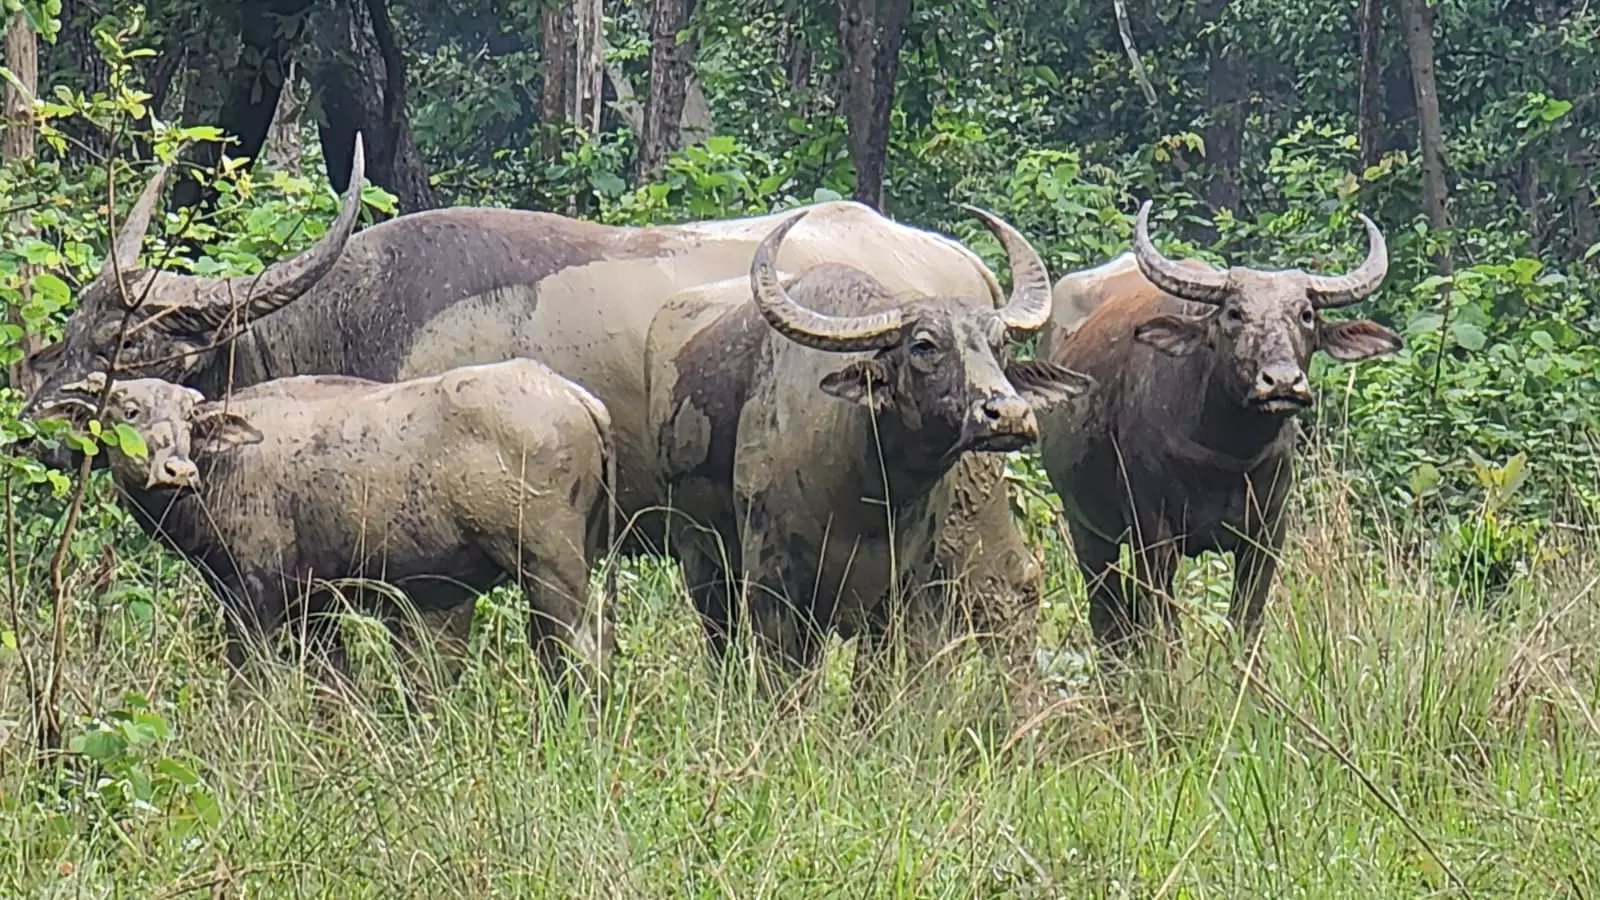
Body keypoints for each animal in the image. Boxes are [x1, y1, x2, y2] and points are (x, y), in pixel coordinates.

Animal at [36, 360, 617, 688]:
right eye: (128, 410)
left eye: (188, 420)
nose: (177, 471)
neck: (225, 466)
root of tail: (575, 395)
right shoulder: (315, 608)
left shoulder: (252, 594)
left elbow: (248, 689)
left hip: (550, 567)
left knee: (582, 655)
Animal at [643, 204, 1094, 695]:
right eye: (923, 345)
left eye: (1000, 345)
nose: (1008, 414)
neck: (866, 498)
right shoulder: (773, 584)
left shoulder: (904, 590)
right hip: (699, 557)